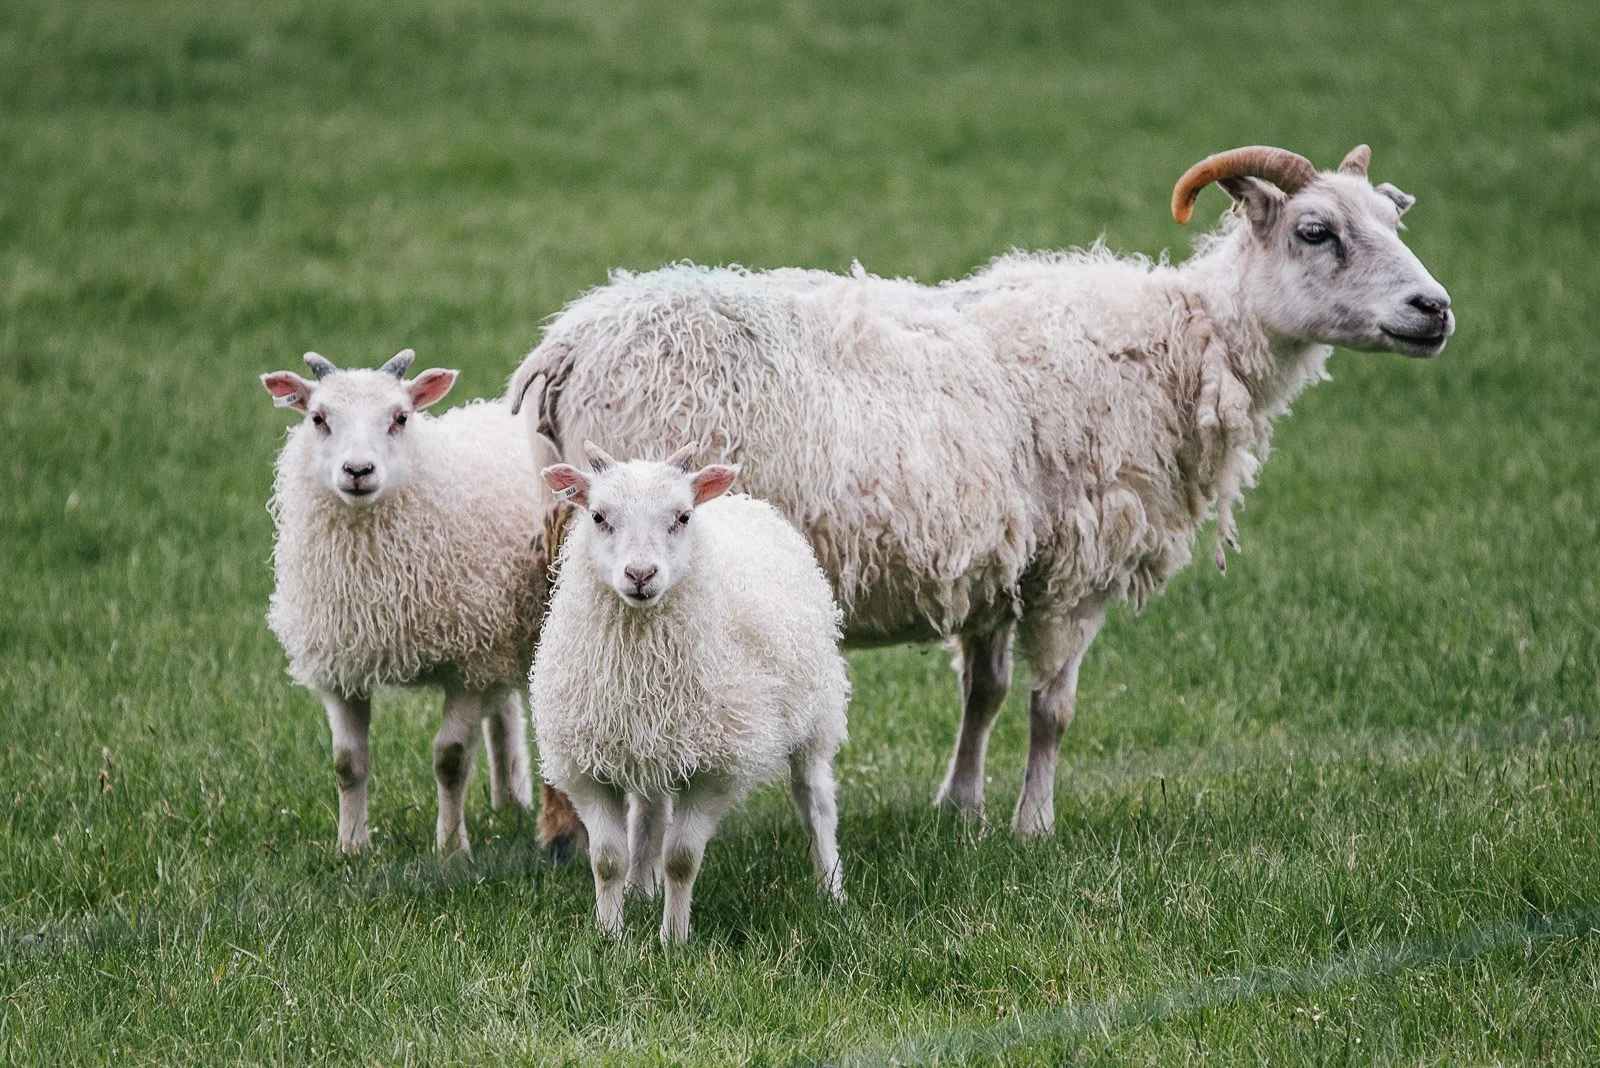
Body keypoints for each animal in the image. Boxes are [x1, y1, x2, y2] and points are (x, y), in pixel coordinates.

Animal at [261, 349, 541, 854]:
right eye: (318, 418)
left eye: (400, 417)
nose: (357, 471)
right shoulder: (343, 664)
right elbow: (347, 762)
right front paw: (351, 846)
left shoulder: (467, 660)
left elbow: (450, 759)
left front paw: (451, 848)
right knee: (505, 712)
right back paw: (510, 803)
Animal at [510, 142, 1455, 841]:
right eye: (1315, 231)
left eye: (1393, 217)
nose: (1436, 309)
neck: (1187, 343)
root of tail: (570, 339)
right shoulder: (1075, 569)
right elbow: (1052, 708)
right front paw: (1033, 825)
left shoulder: (998, 565)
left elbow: (986, 692)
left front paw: (960, 806)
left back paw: (563, 826)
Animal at [529, 442, 849, 943]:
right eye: (598, 516)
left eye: (681, 517)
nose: (641, 574)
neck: (641, 660)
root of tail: (743, 501)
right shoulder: (587, 766)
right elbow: (607, 859)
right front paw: (610, 937)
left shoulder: (718, 767)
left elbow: (680, 859)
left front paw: (673, 941)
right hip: (652, 743)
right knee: (648, 816)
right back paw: (640, 891)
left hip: (815, 714)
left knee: (814, 800)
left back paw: (831, 890)